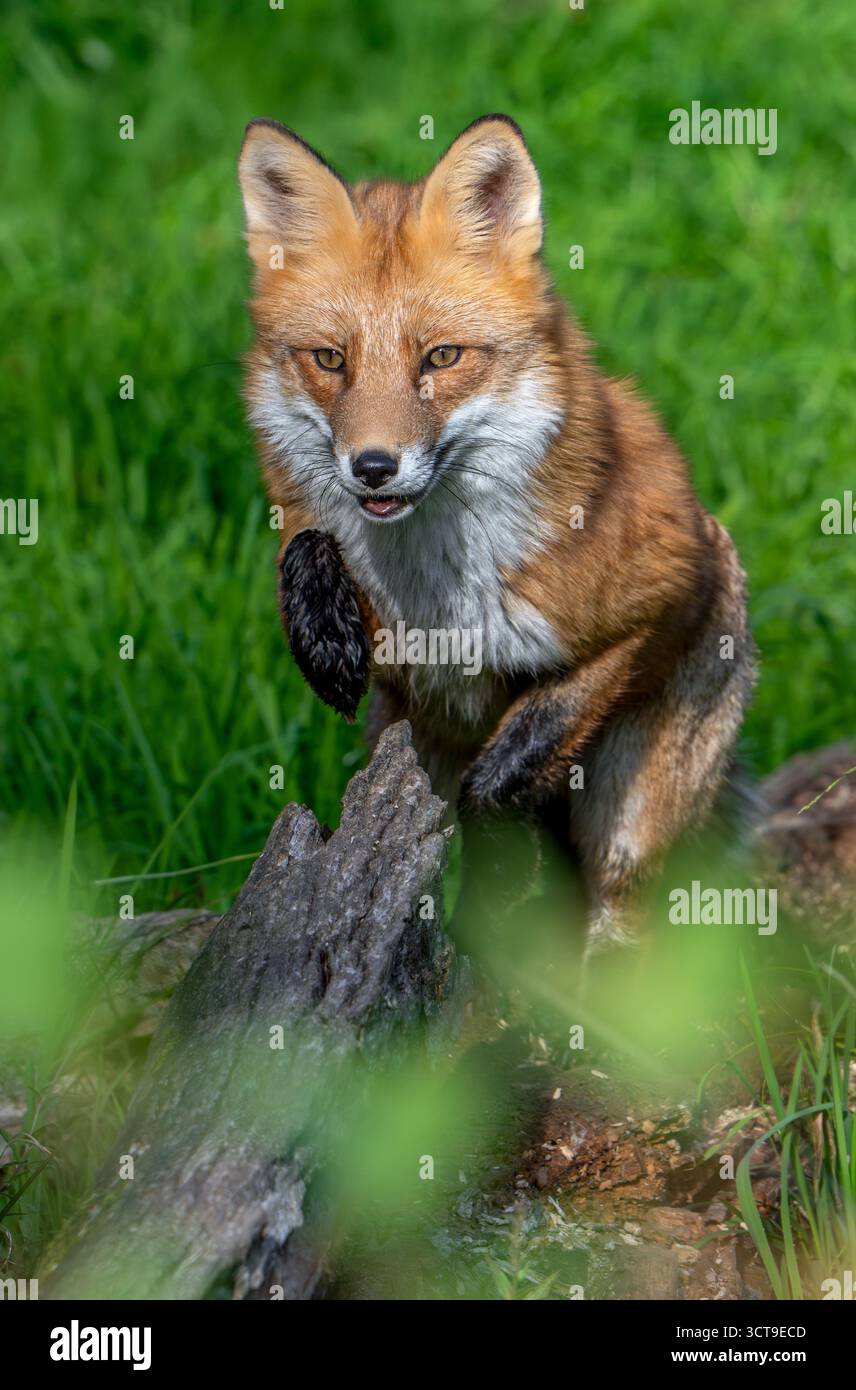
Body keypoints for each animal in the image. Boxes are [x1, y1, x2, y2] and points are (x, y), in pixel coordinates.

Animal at [237, 114, 757, 958]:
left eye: (441, 357)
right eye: (330, 360)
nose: (372, 467)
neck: (441, 579)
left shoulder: (644, 609)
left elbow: (500, 779)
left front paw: (497, 879)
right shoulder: (400, 660)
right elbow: (305, 548)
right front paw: (323, 642)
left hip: (627, 835)